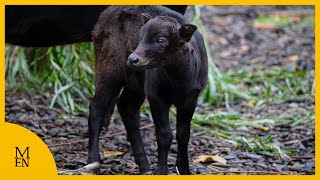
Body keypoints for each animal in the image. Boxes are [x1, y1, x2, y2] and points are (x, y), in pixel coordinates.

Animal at [89, 5, 208, 174]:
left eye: (161, 40)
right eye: (140, 38)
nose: (132, 59)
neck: (178, 81)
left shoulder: (191, 99)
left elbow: (184, 134)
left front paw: (184, 169)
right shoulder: (156, 96)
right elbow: (164, 135)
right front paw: (162, 170)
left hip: (136, 83)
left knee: (126, 107)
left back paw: (144, 166)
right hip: (108, 68)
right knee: (96, 109)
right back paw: (93, 162)